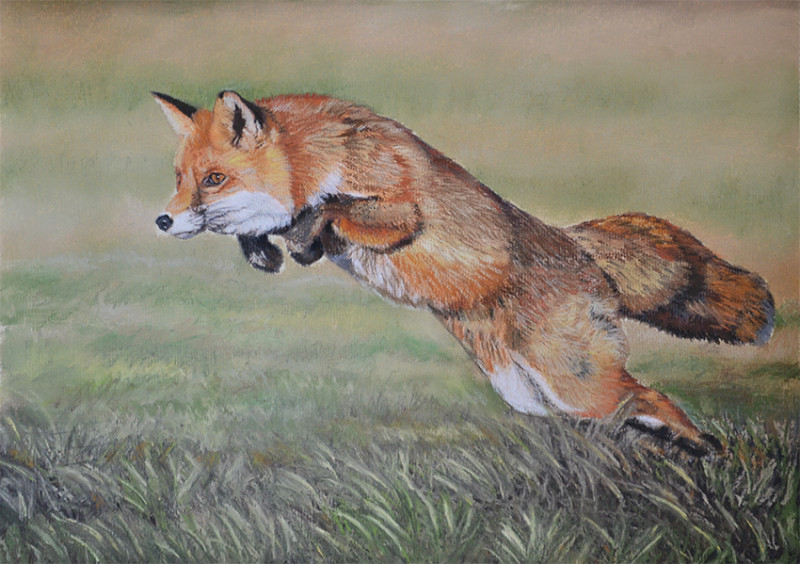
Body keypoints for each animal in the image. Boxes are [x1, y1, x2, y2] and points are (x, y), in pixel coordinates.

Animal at [153, 90, 774, 455]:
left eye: (213, 180)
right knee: (633, 408)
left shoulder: (401, 211)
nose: (162, 219)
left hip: (573, 383)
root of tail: (577, 248)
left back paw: (708, 452)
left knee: (651, 398)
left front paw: (300, 239)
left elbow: (329, 209)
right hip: (529, 391)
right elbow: (274, 223)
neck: (316, 156)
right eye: (180, 178)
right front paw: (263, 251)